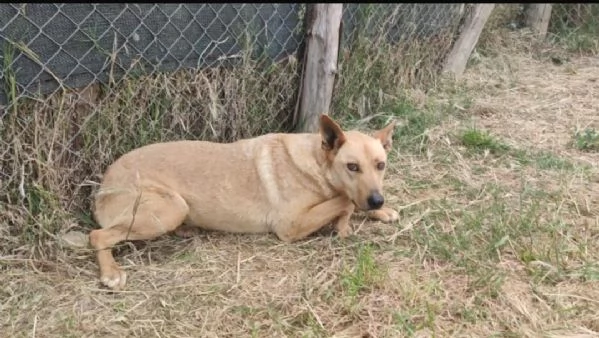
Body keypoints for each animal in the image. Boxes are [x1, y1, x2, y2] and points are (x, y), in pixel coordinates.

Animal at [89, 113, 398, 288]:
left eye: (380, 165)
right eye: (352, 167)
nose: (377, 201)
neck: (317, 162)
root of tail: (104, 182)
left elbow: (350, 200)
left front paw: (383, 212)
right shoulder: (290, 225)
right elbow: (345, 201)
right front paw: (344, 224)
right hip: (171, 207)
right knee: (98, 235)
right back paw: (111, 272)